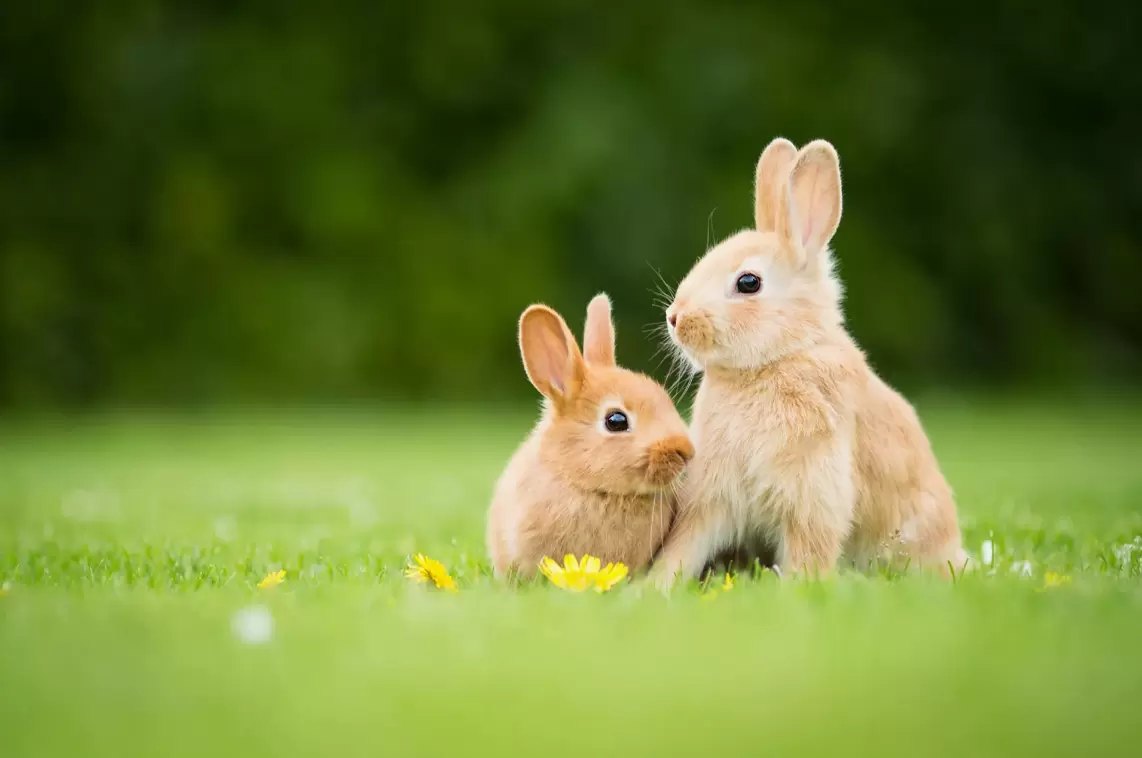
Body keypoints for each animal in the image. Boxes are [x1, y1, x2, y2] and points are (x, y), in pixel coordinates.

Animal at [648, 139, 959, 589]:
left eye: (748, 282)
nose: (675, 317)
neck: (778, 359)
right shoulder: (711, 496)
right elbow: (684, 546)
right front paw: (651, 587)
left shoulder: (815, 495)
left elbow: (809, 550)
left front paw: (798, 588)